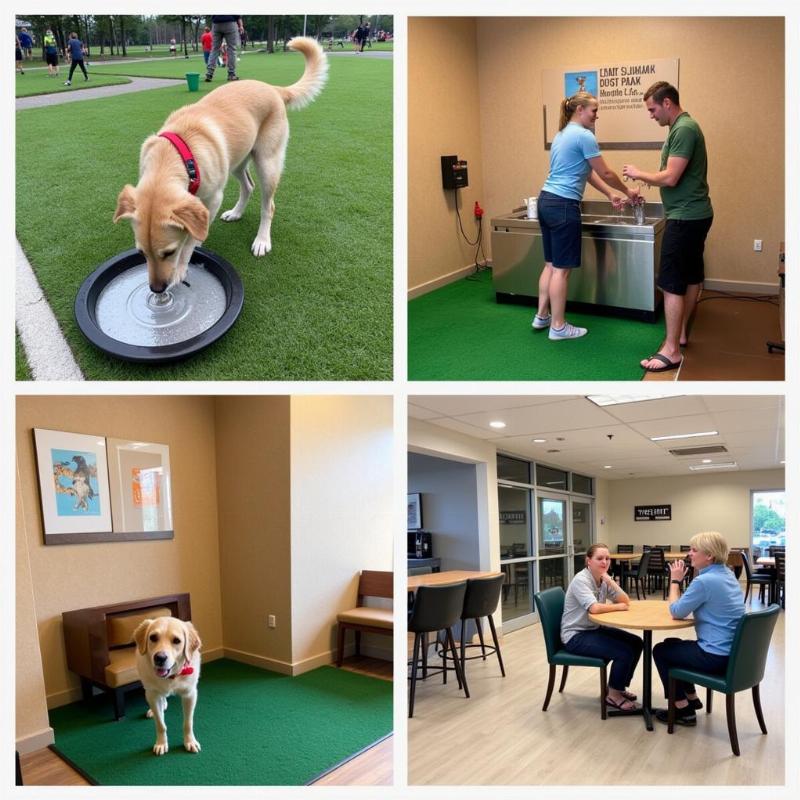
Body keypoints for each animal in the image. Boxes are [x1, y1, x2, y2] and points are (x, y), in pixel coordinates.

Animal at [111, 37, 324, 294]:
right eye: (141, 252)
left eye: (169, 252)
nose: (157, 289)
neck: (175, 157)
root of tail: (273, 88)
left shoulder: (212, 199)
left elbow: (191, 238)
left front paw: (182, 266)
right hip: (237, 161)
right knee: (248, 186)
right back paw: (236, 213)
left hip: (267, 163)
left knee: (268, 206)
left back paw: (262, 240)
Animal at [134, 620, 203, 756]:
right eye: (153, 637)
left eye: (176, 640)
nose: (160, 658)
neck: (171, 676)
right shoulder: (153, 695)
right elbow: (161, 724)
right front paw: (161, 743)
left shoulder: (189, 694)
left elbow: (188, 723)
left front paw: (190, 741)